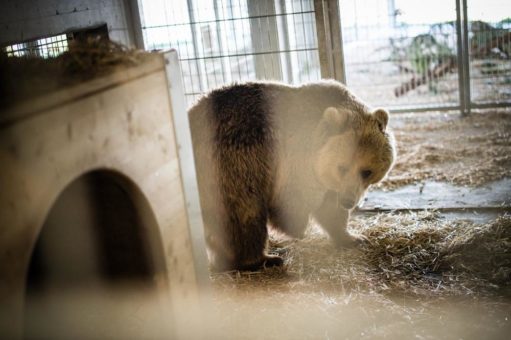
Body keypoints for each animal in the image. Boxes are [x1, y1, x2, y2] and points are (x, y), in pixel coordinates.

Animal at [188, 79, 396, 270]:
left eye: (367, 171)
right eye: (342, 167)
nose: (348, 201)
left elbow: (331, 209)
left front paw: (353, 237)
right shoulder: (295, 158)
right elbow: (295, 200)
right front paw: (296, 228)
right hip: (230, 165)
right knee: (245, 212)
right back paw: (263, 259)